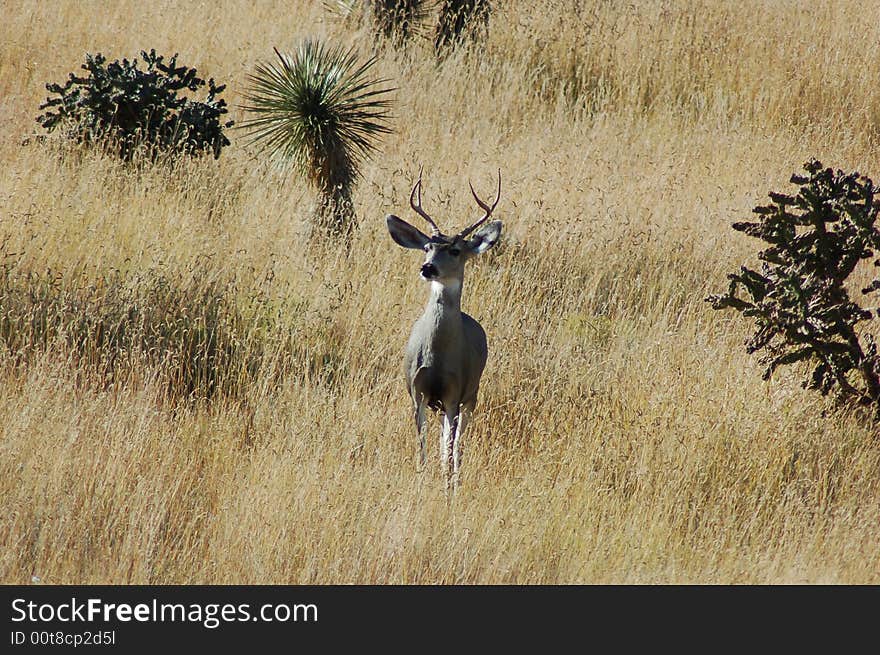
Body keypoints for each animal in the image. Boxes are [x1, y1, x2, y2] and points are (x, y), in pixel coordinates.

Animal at [384, 169, 502, 486]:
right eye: (427, 247)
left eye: (456, 250)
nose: (428, 268)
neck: (437, 356)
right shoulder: (418, 391)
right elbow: (422, 444)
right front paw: (421, 478)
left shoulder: (454, 391)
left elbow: (451, 447)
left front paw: (449, 484)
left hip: (472, 393)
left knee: (458, 440)